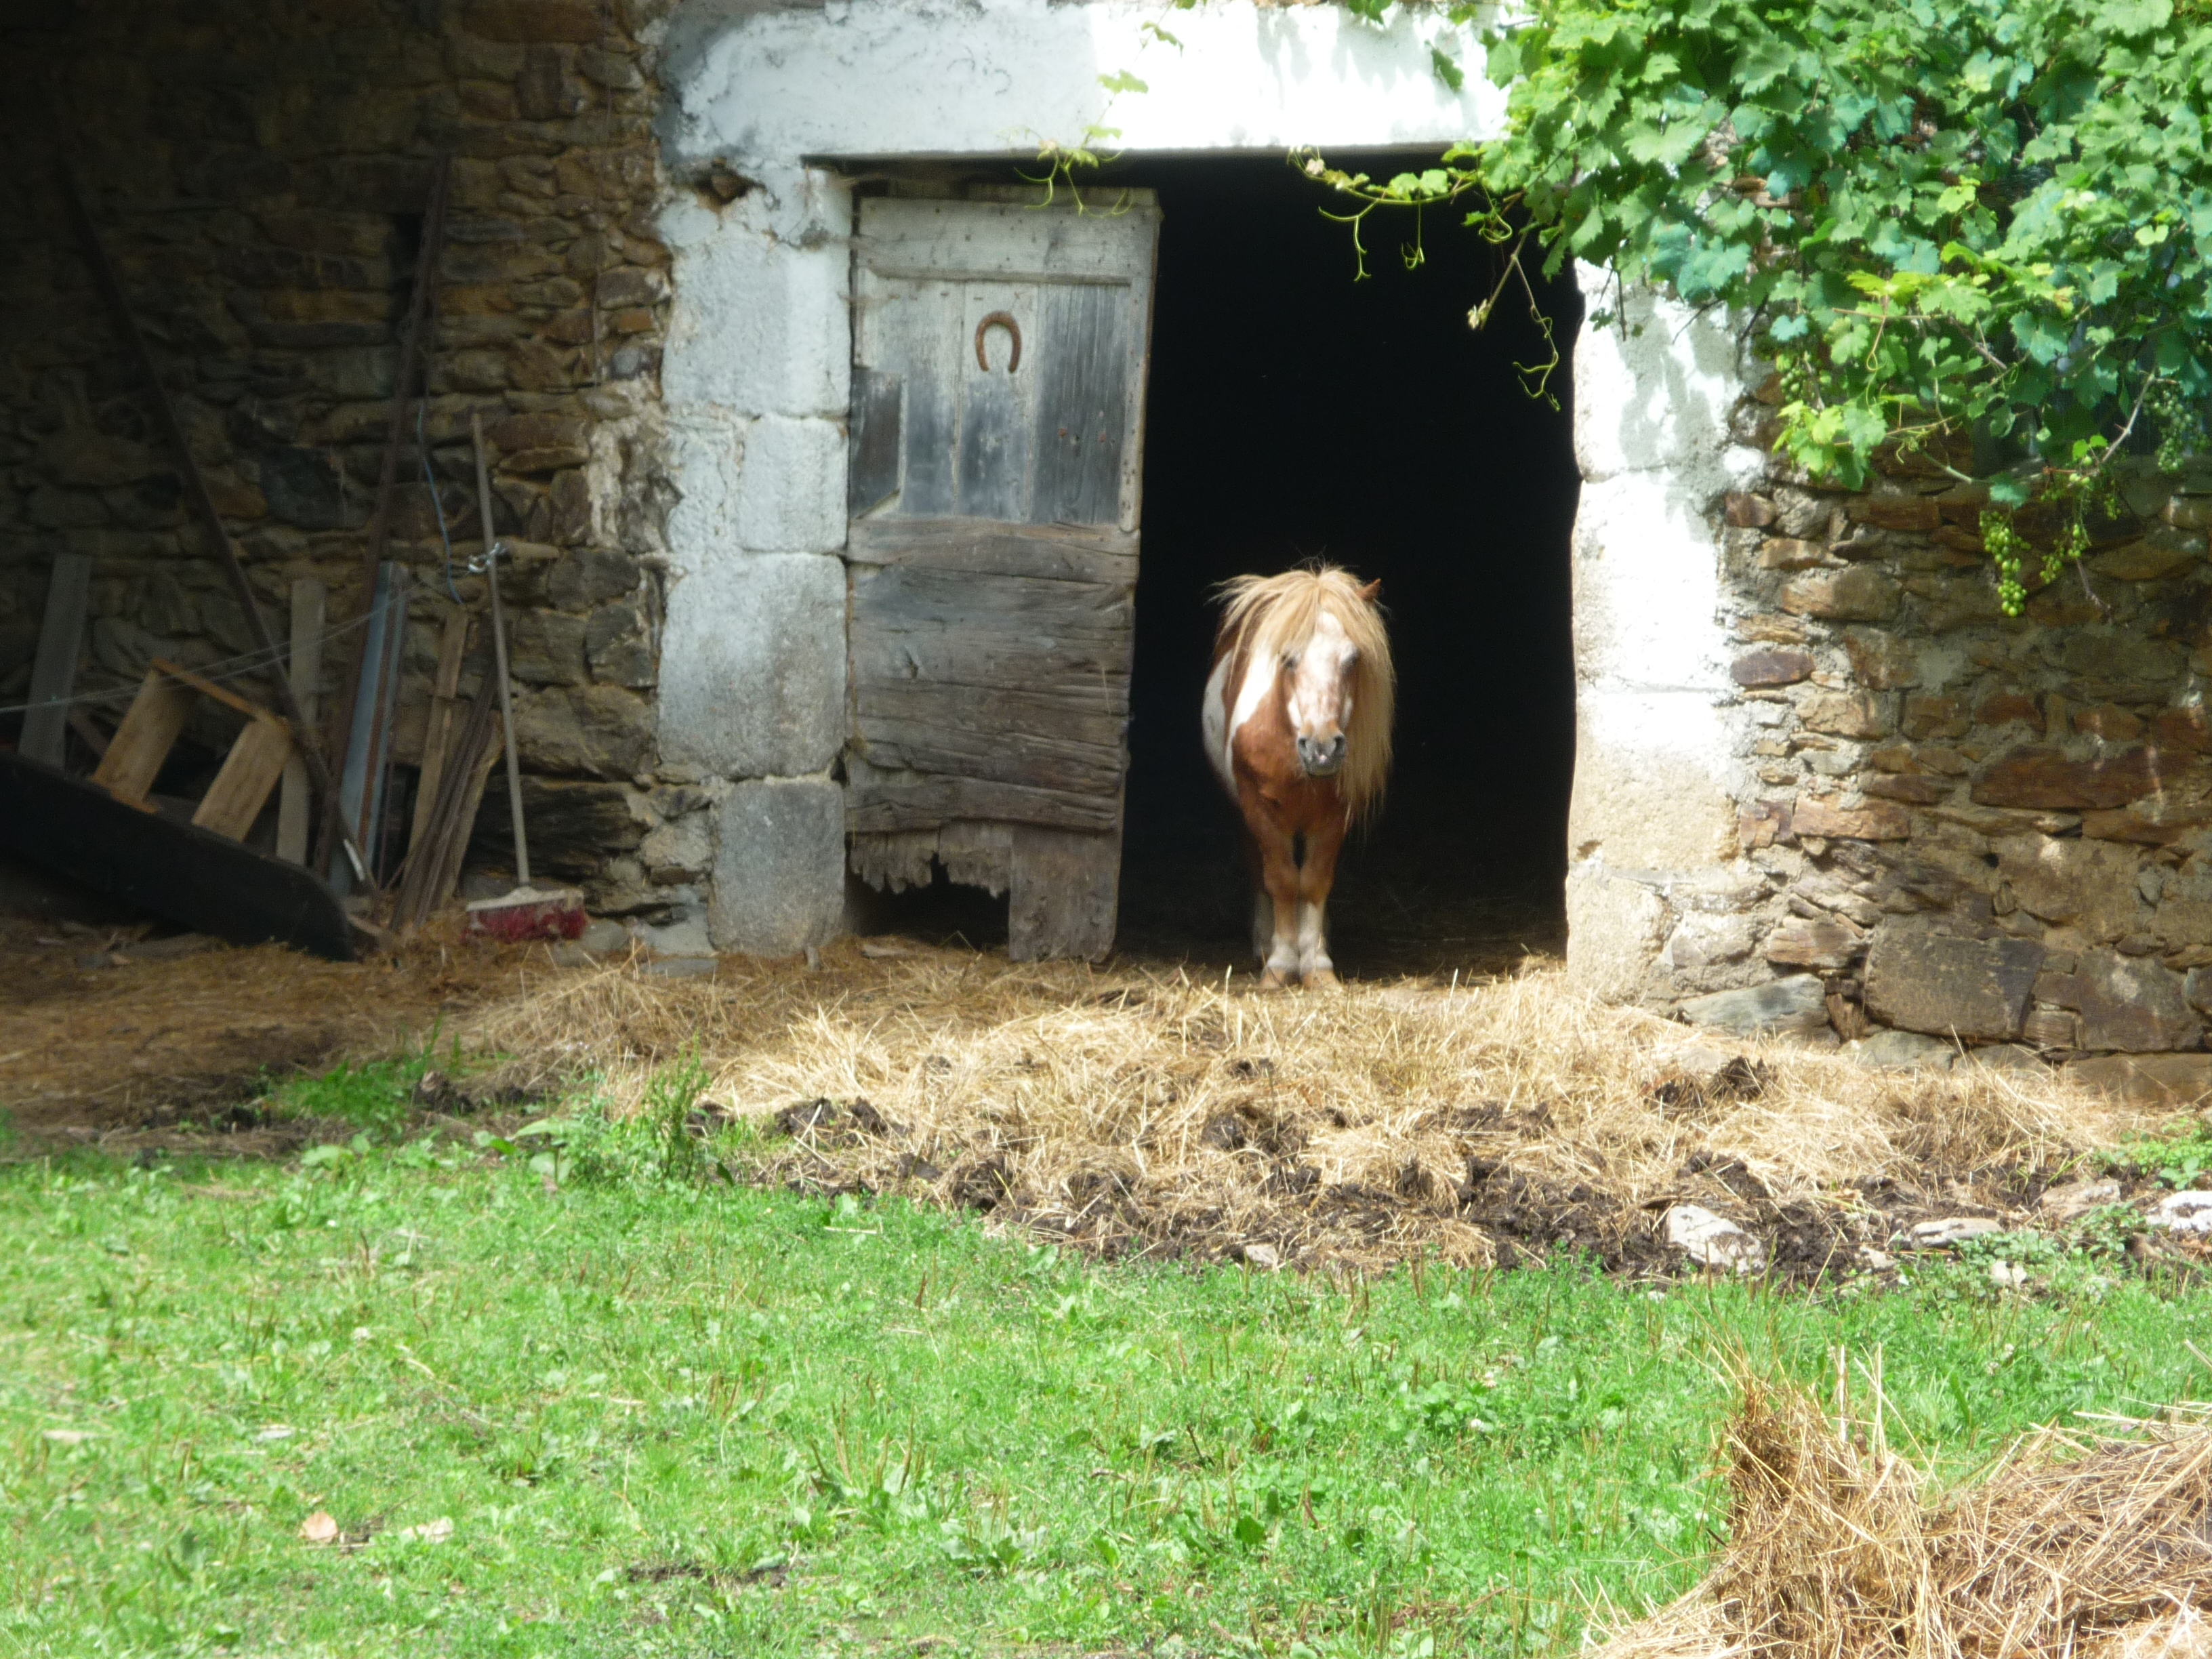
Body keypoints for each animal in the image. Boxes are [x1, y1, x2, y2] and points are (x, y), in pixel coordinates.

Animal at [1201, 565, 1394, 991]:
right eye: (1288, 659)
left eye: (1352, 659)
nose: (1322, 749)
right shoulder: (1260, 811)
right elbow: (1282, 880)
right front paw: (1280, 965)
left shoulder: (1335, 817)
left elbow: (1315, 881)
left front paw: (1318, 965)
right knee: (1260, 872)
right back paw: (1263, 944)